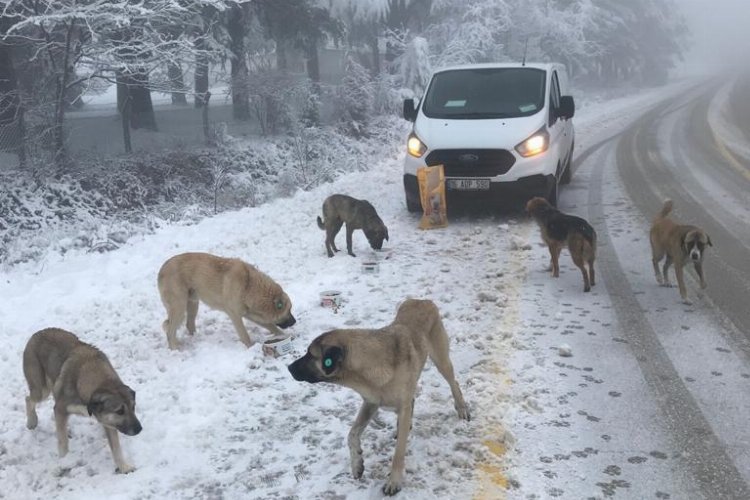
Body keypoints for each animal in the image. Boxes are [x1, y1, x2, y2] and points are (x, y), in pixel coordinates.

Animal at [23, 328, 142, 472]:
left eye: (133, 407)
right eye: (120, 411)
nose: (139, 429)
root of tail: (37, 333)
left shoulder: (108, 421)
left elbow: (116, 448)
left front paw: (123, 467)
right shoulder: (60, 409)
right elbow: (63, 442)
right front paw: (65, 462)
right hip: (41, 390)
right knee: (28, 399)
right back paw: (32, 422)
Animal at [159, 252, 296, 350]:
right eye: (289, 310)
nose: (294, 321)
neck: (249, 286)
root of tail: (162, 268)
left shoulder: (249, 313)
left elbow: (271, 326)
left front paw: (284, 335)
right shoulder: (235, 315)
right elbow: (244, 334)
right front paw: (251, 347)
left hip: (193, 304)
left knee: (189, 324)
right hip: (179, 307)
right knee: (170, 332)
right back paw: (175, 349)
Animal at [288, 298, 470, 494]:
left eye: (310, 354)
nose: (289, 368)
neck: (369, 365)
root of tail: (423, 300)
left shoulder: (396, 404)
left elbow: (398, 453)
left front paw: (394, 481)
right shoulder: (370, 402)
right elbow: (352, 433)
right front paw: (357, 464)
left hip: (441, 359)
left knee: (453, 382)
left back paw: (462, 408)